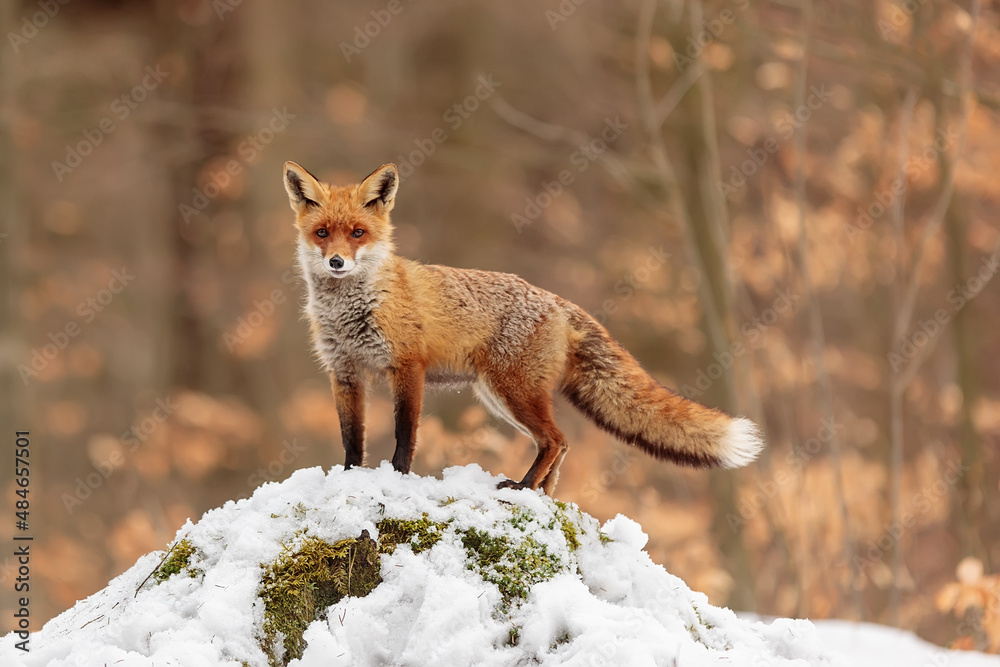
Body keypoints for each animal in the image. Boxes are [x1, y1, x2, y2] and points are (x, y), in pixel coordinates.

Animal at [283, 161, 764, 495]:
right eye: (322, 233)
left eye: (358, 233)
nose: (337, 262)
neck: (351, 310)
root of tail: (558, 301)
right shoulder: (345, 371)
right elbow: (352, 439)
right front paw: (349, 479)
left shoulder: (406, 366)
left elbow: (405, 436)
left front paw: (397, 479)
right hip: (500, 397)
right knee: (561, 445)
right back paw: (542, 496)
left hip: (511, 392)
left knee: (555, 440)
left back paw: (523, 488)